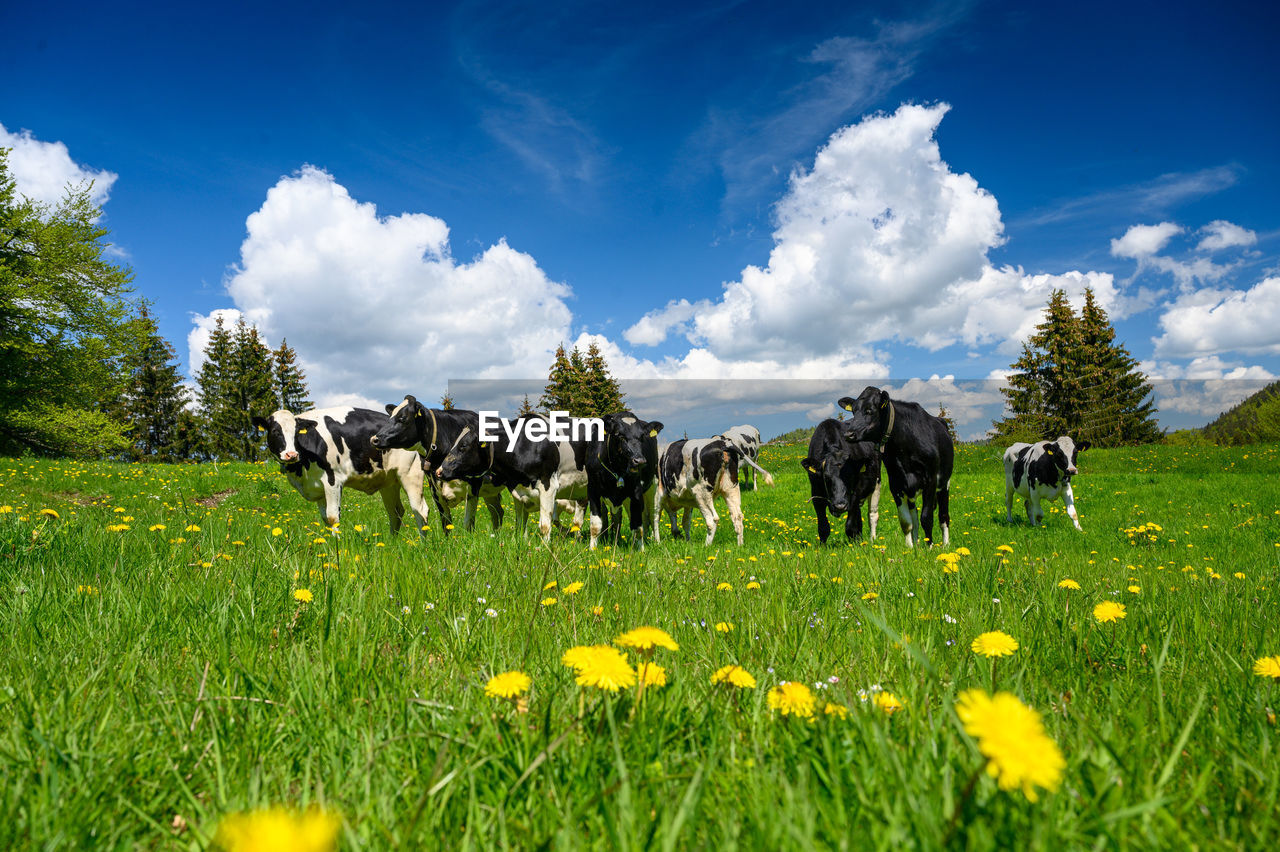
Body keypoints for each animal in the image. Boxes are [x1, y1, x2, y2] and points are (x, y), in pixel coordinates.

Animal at [252, 406, 432, 537]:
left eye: (296, 433)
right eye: (275, 431)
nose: (291, 454)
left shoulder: (332, 480)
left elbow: (332, 517)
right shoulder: (318, 488)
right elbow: (325, 518)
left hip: (410, 474)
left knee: (420, 510)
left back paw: (423, 544)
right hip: (388, 481)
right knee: (395, 512)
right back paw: (392, 542)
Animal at [368, 394, 501, 532]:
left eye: (402, 418)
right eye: (390, 417)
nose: (374, 439)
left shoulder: (474, 486)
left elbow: (468, 524)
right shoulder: (435, 489)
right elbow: (446, 524)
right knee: (497, 512)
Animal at [839, 383, 952, 544]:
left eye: (869, 410)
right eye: (854, 411)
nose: (849, 434)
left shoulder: (930, 480)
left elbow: (927, 517)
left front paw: (929, 546)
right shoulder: (896, 482)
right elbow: (906, 521)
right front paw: (910, 547)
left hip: (944, 483)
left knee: (943, 516)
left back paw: (945, 545)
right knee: (914, 516)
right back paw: (917, 544)